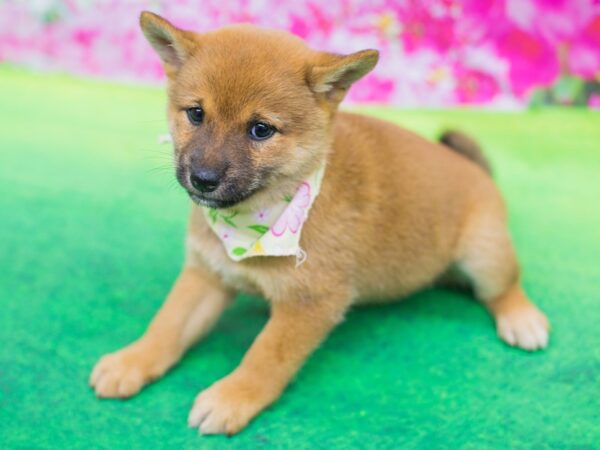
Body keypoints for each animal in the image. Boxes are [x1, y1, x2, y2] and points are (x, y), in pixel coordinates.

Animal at [90, 12, 548, 436]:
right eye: (196, 114)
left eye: (260, 130)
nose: (202, 178)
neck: (258, 221)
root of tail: (477, 171)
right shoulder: (207, 274)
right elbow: (167, 325)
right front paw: (132, 360)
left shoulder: (311, 304)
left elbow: (265, 356)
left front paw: (232, 396)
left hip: (485, 255)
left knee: (503, 287)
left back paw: (522, 318)